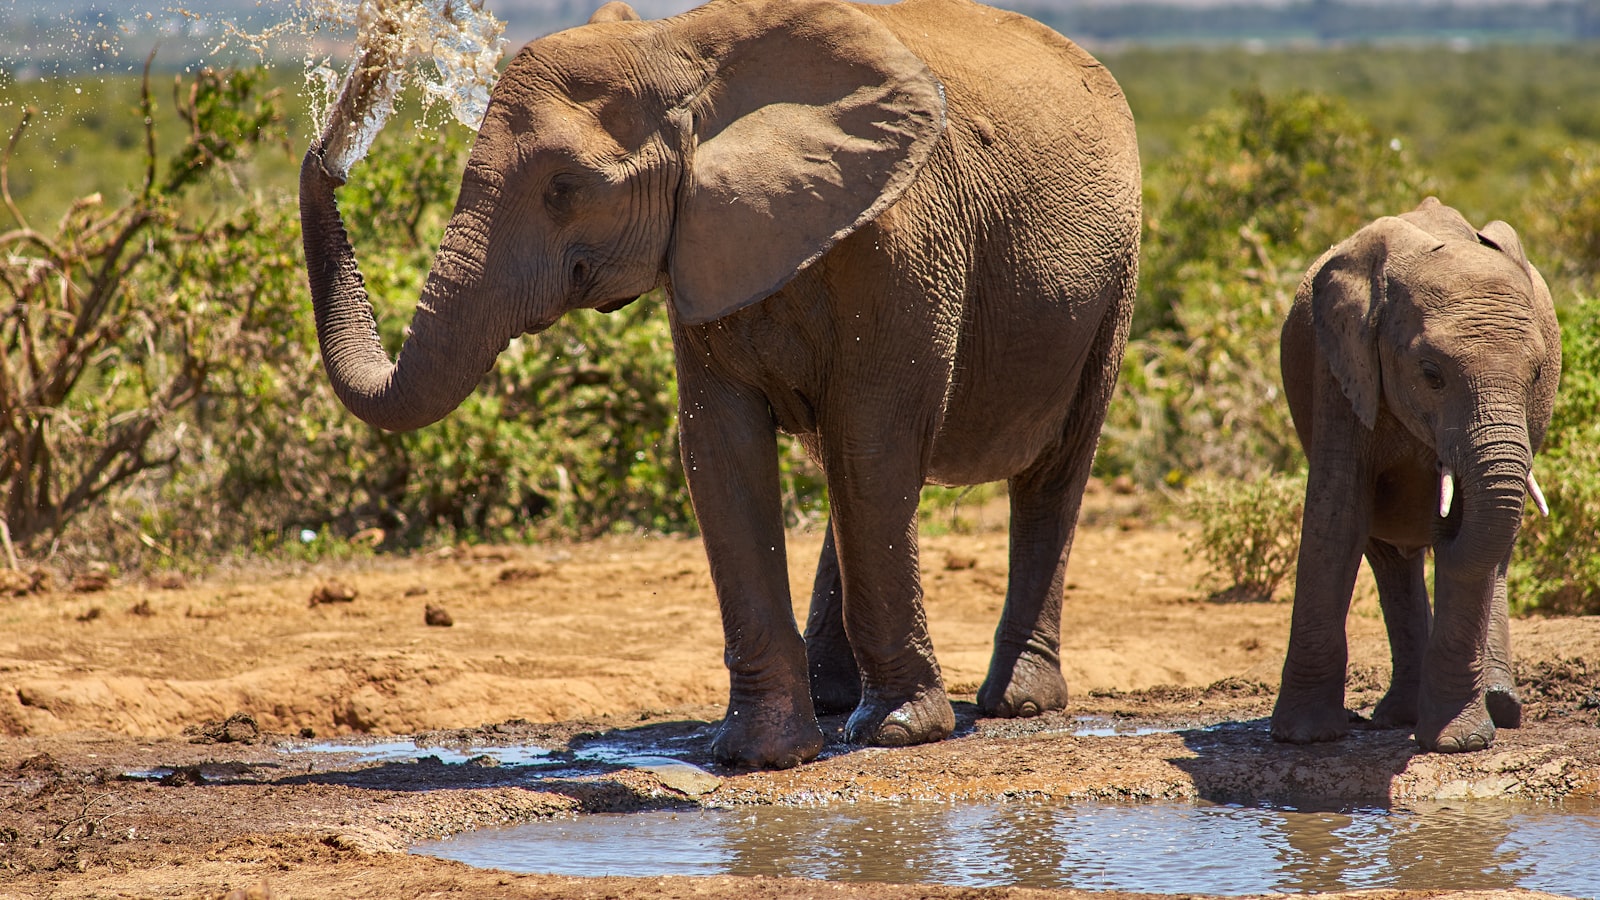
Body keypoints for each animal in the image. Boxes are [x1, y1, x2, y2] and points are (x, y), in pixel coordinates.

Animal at [298, 0, 1141, 769]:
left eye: (564, 188)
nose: (334, 146)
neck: (680, 47)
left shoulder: (903, 242)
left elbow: (873, 444)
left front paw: (901, 734)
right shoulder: (700, 242)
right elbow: (721, 450)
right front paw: (760, 755)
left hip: (1113, 279)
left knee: (1047, 471)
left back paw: (1014, 704)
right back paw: (835, 699)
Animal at [1272, 197, 1561, 753]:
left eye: (1537, 375)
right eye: (1431, 374)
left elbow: (1474, 536)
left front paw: (1457, 743)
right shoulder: (1340, 365)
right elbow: (1337, 516)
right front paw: (1303, 737)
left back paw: (1497, 706)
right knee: (1389, 557)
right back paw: (1401, 715)